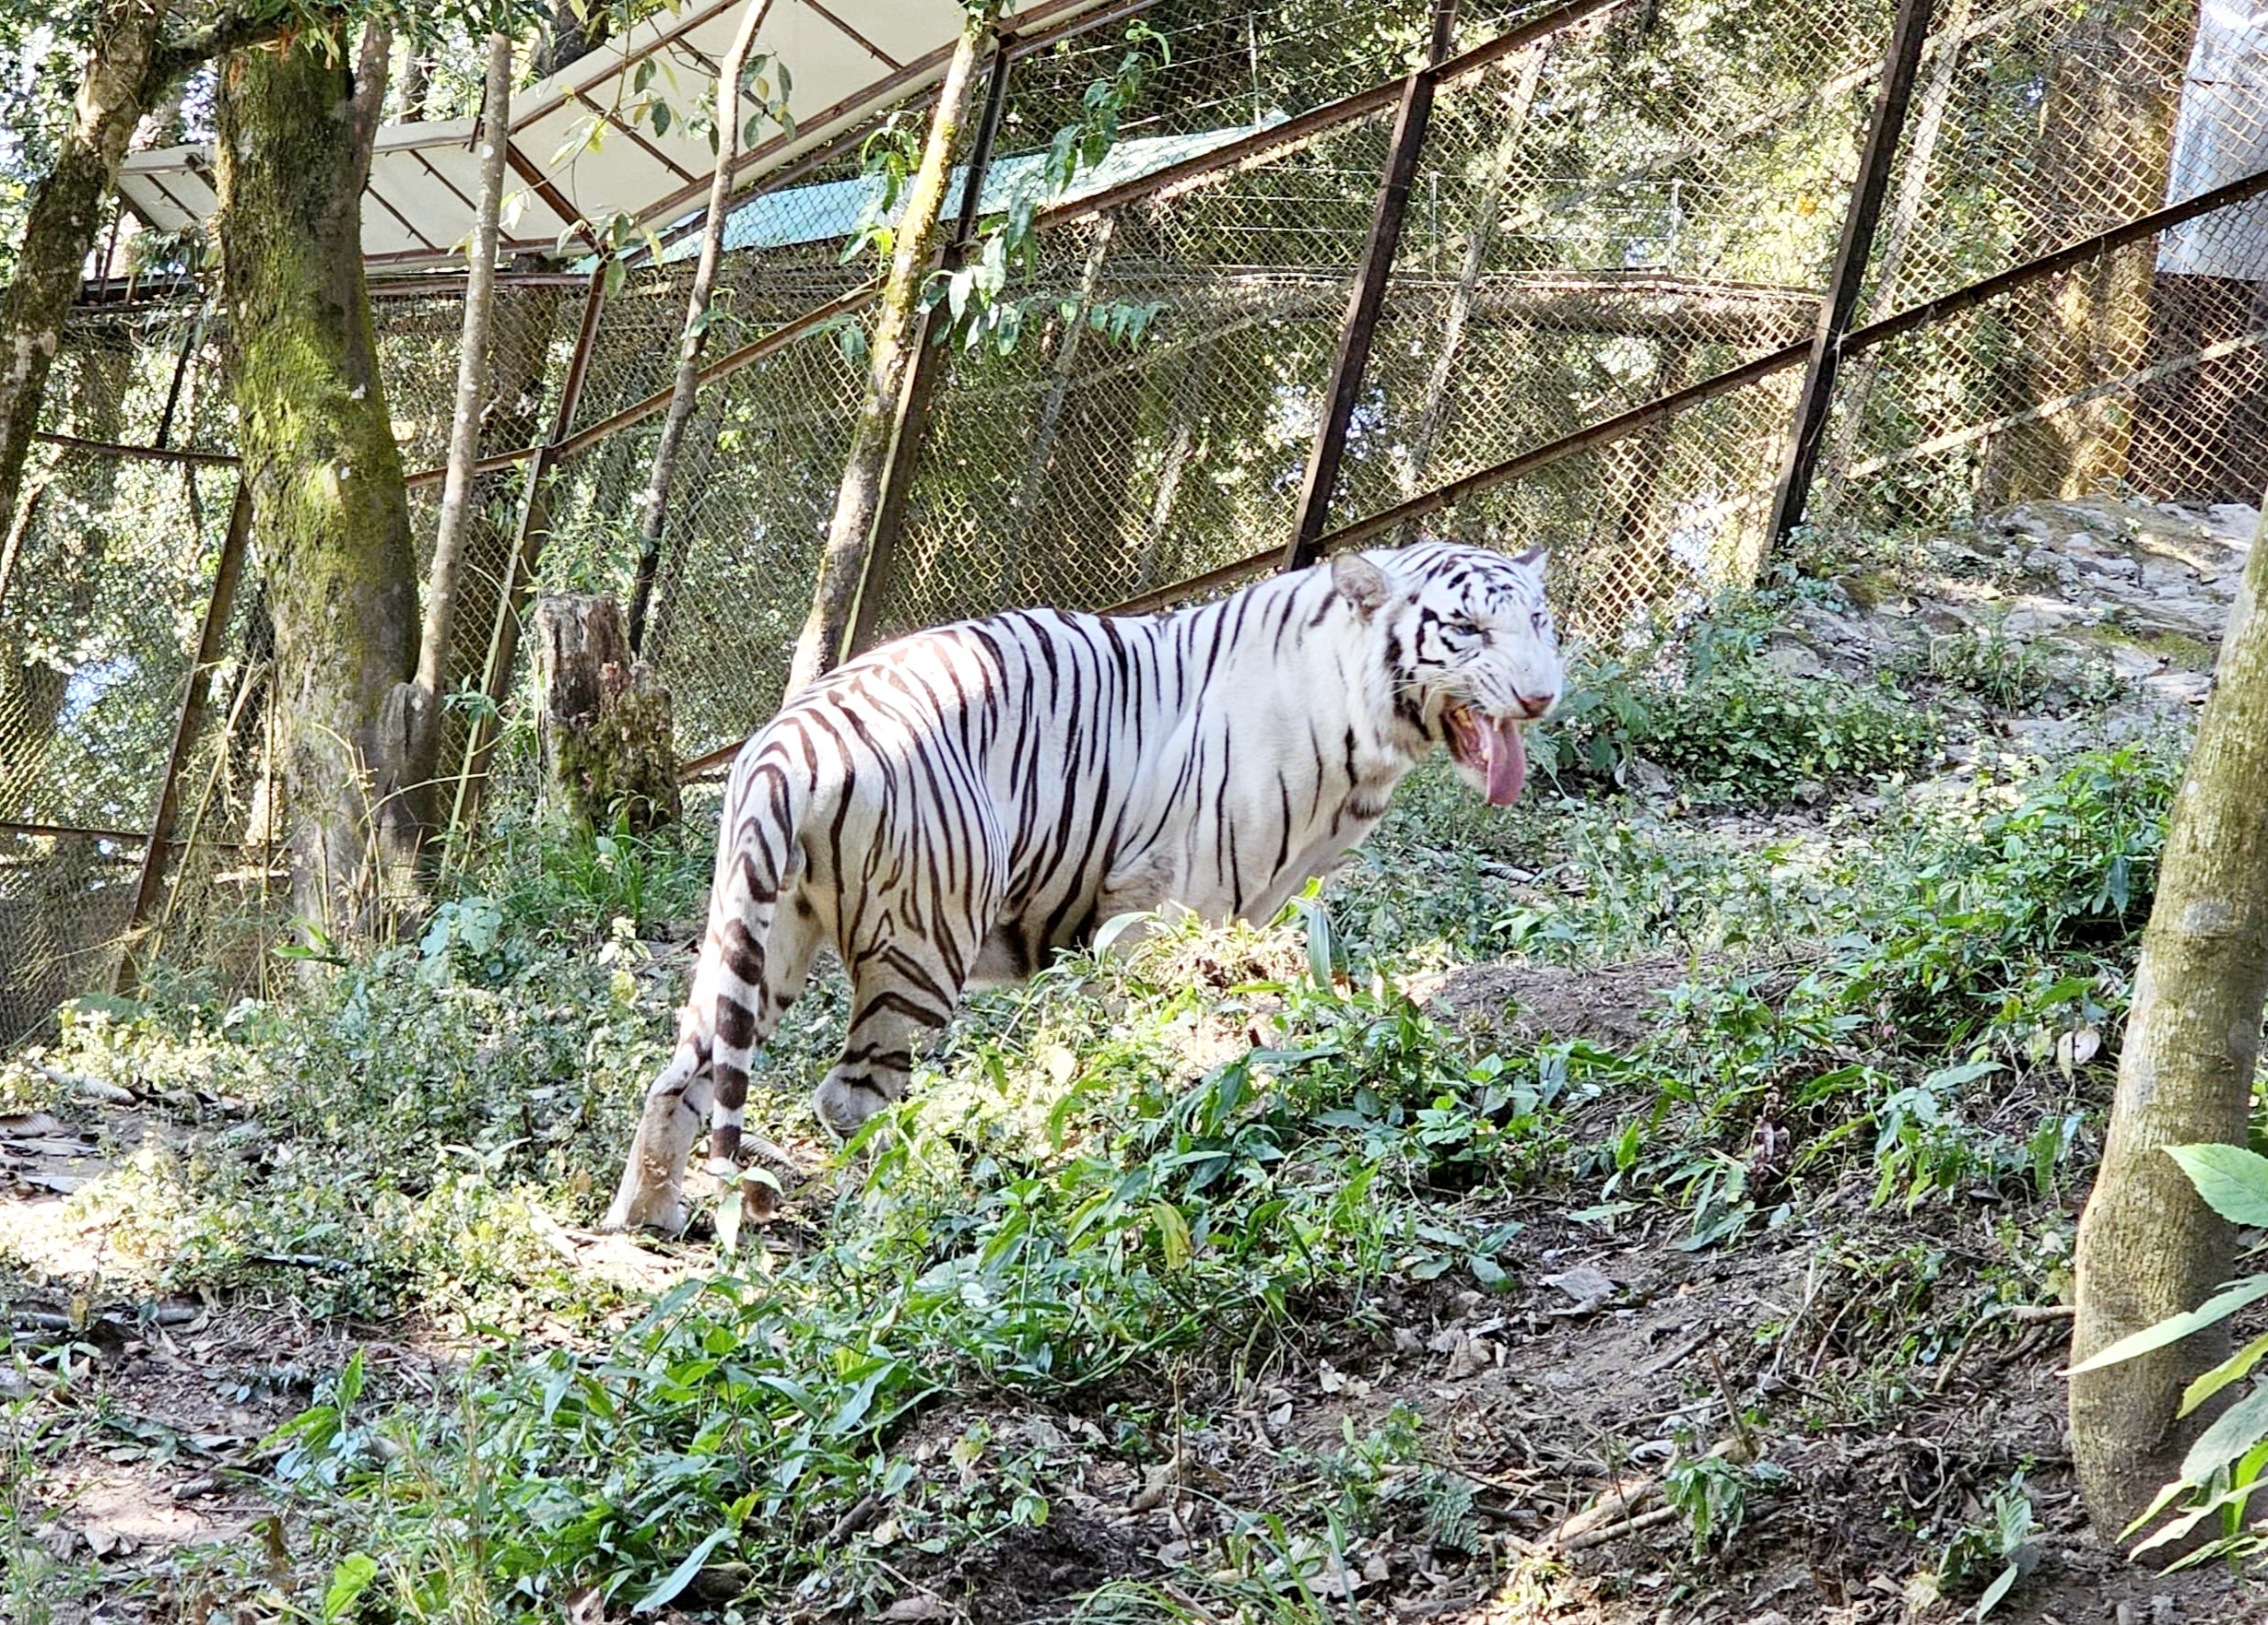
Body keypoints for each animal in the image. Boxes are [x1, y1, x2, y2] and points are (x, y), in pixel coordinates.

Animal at [603, 540, 1560, 1225]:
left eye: (1540, 622)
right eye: (1466, 630)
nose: (1543, 696)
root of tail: (782, 744)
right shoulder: (1165, 907)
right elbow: (1160, 1022)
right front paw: (1164, 1103)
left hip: (763, 933)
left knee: (682, 1070)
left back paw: (649, 1216)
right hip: (922, 943)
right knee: (849, 1096)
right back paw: (907, 1197)